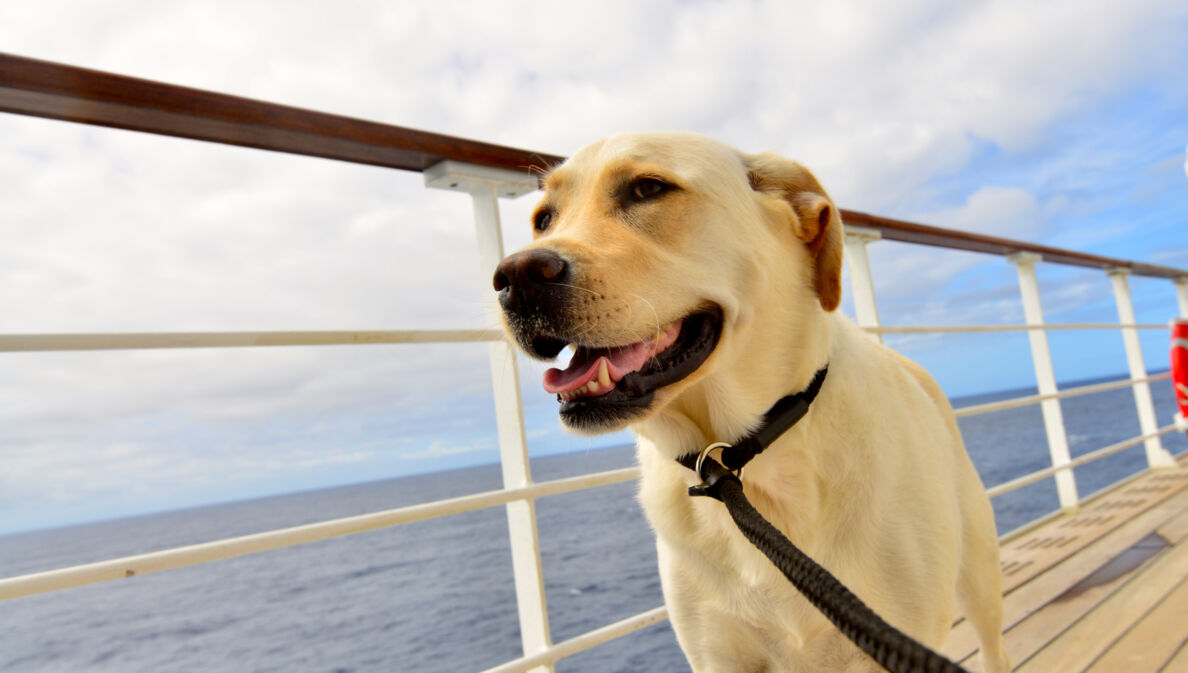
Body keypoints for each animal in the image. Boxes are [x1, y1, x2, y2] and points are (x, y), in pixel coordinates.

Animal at [487, 133, 1007, 673]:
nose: (515, 276)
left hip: (980, 576)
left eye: (648, 188)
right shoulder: (717, 655)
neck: (745, 462)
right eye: (544, 218)